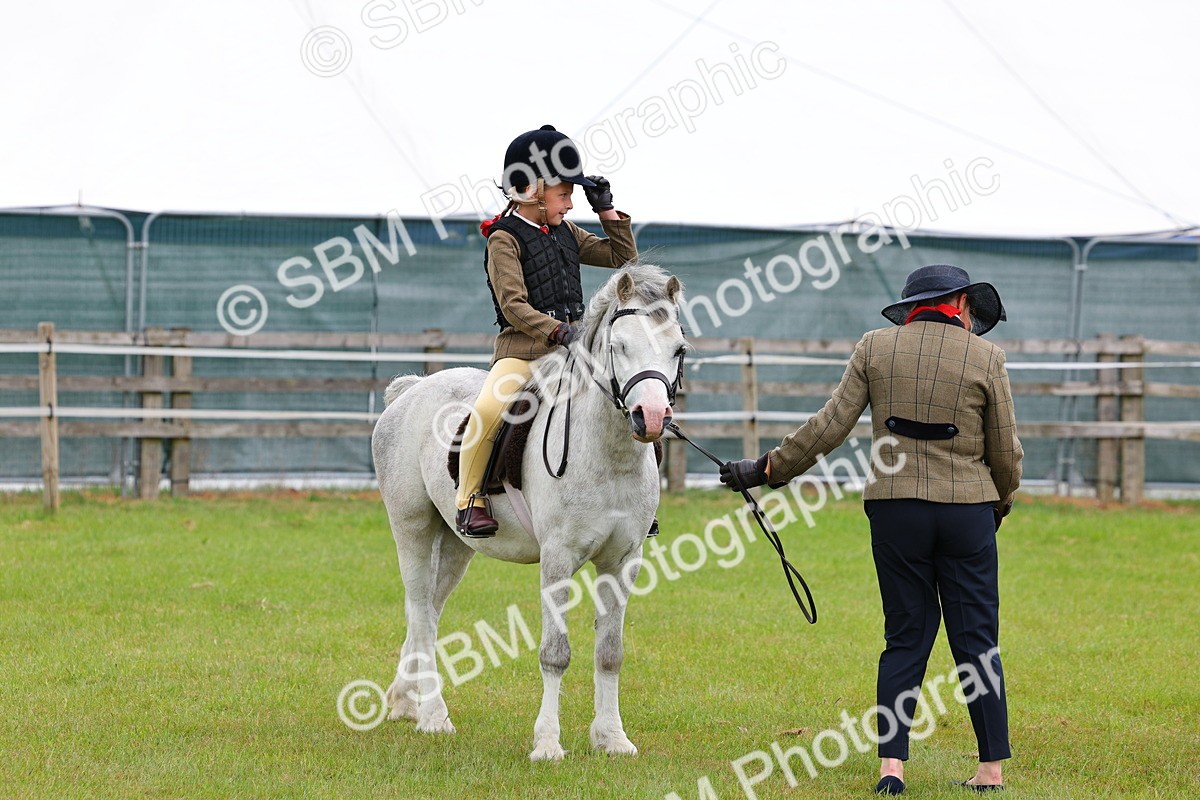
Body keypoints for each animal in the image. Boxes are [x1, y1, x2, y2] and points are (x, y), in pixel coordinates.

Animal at [371, 263, 688, 761]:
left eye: (678, 349)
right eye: (619, 346)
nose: (651, 417)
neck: (606, 453)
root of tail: (413, 389)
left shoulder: (623, 562)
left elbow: (610, 652)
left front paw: (612, 738)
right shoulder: (557, 560)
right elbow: (555, 653)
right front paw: (547, 744)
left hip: (457, 544)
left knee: (429, 612)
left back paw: (405, 701)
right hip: (413, 529)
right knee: (420, 610)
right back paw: (434, 716)